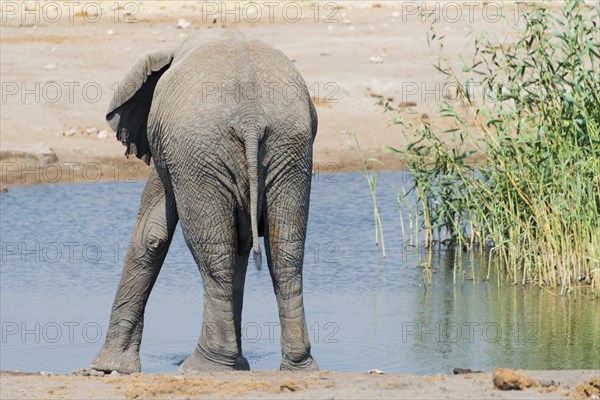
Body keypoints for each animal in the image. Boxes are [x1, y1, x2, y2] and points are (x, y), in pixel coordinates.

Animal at [90, 29, 318, 374]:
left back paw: (202, 365)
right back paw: (298, 367)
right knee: (286, 253)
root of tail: (251, 117)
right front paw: (239, 366)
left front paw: (106, 368)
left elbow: (151, 234)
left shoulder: (171, 154)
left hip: (200, 152)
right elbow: (242, 242)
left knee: (215, 253)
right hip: (289, 149)